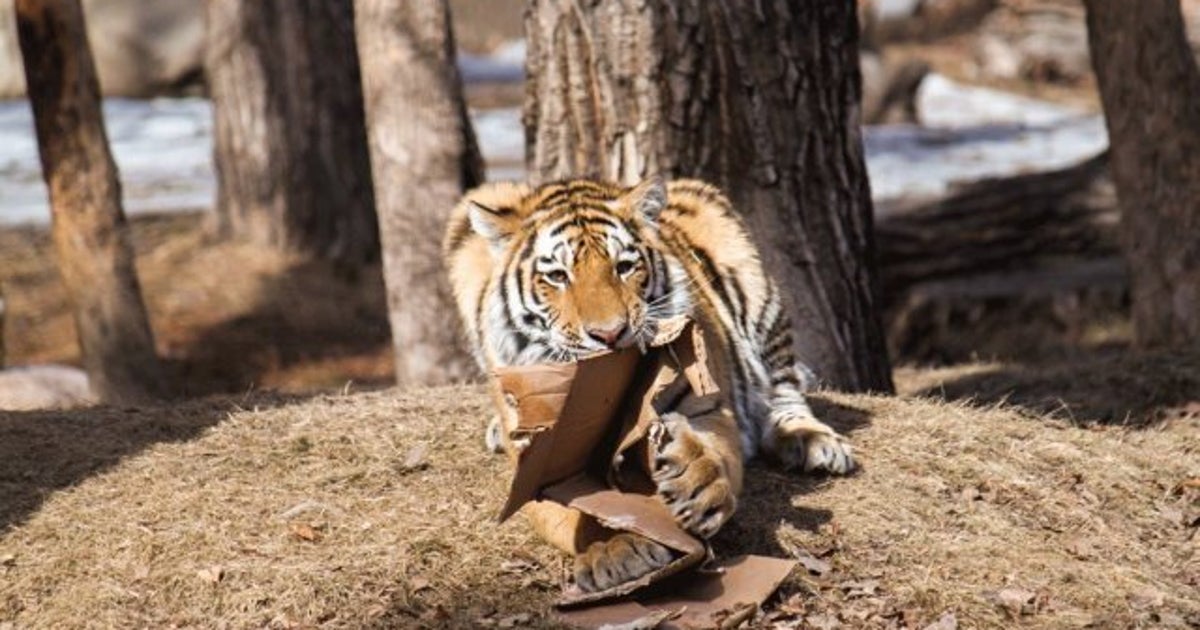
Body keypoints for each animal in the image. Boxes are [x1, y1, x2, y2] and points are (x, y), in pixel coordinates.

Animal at [443, 176, 854, 593]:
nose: (610, 334)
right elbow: (575, 513)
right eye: (557, 276)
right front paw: (618, 549)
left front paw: (697, 482)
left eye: (624, 267)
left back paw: (812, 441)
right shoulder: (536, 467)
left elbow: (718, 451)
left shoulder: (707, 406)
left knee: (782, 389)